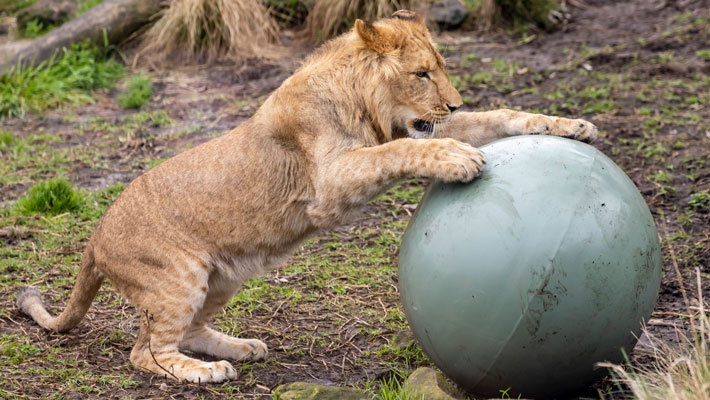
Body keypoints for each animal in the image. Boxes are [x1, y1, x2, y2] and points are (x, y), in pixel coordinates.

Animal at [16, 10, 597, 383]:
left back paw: (240, 348)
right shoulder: (331, 181)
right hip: (178, 277)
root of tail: (94, 237)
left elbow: (500, 115)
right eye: (422, 73)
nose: (453, 105)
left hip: (221, 276)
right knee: (145, 351)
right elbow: (403, 150)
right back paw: (205, 372)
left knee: (189, 329)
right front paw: (458, 158)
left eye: (443, 68)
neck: (365, 104)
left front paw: (574, 126)